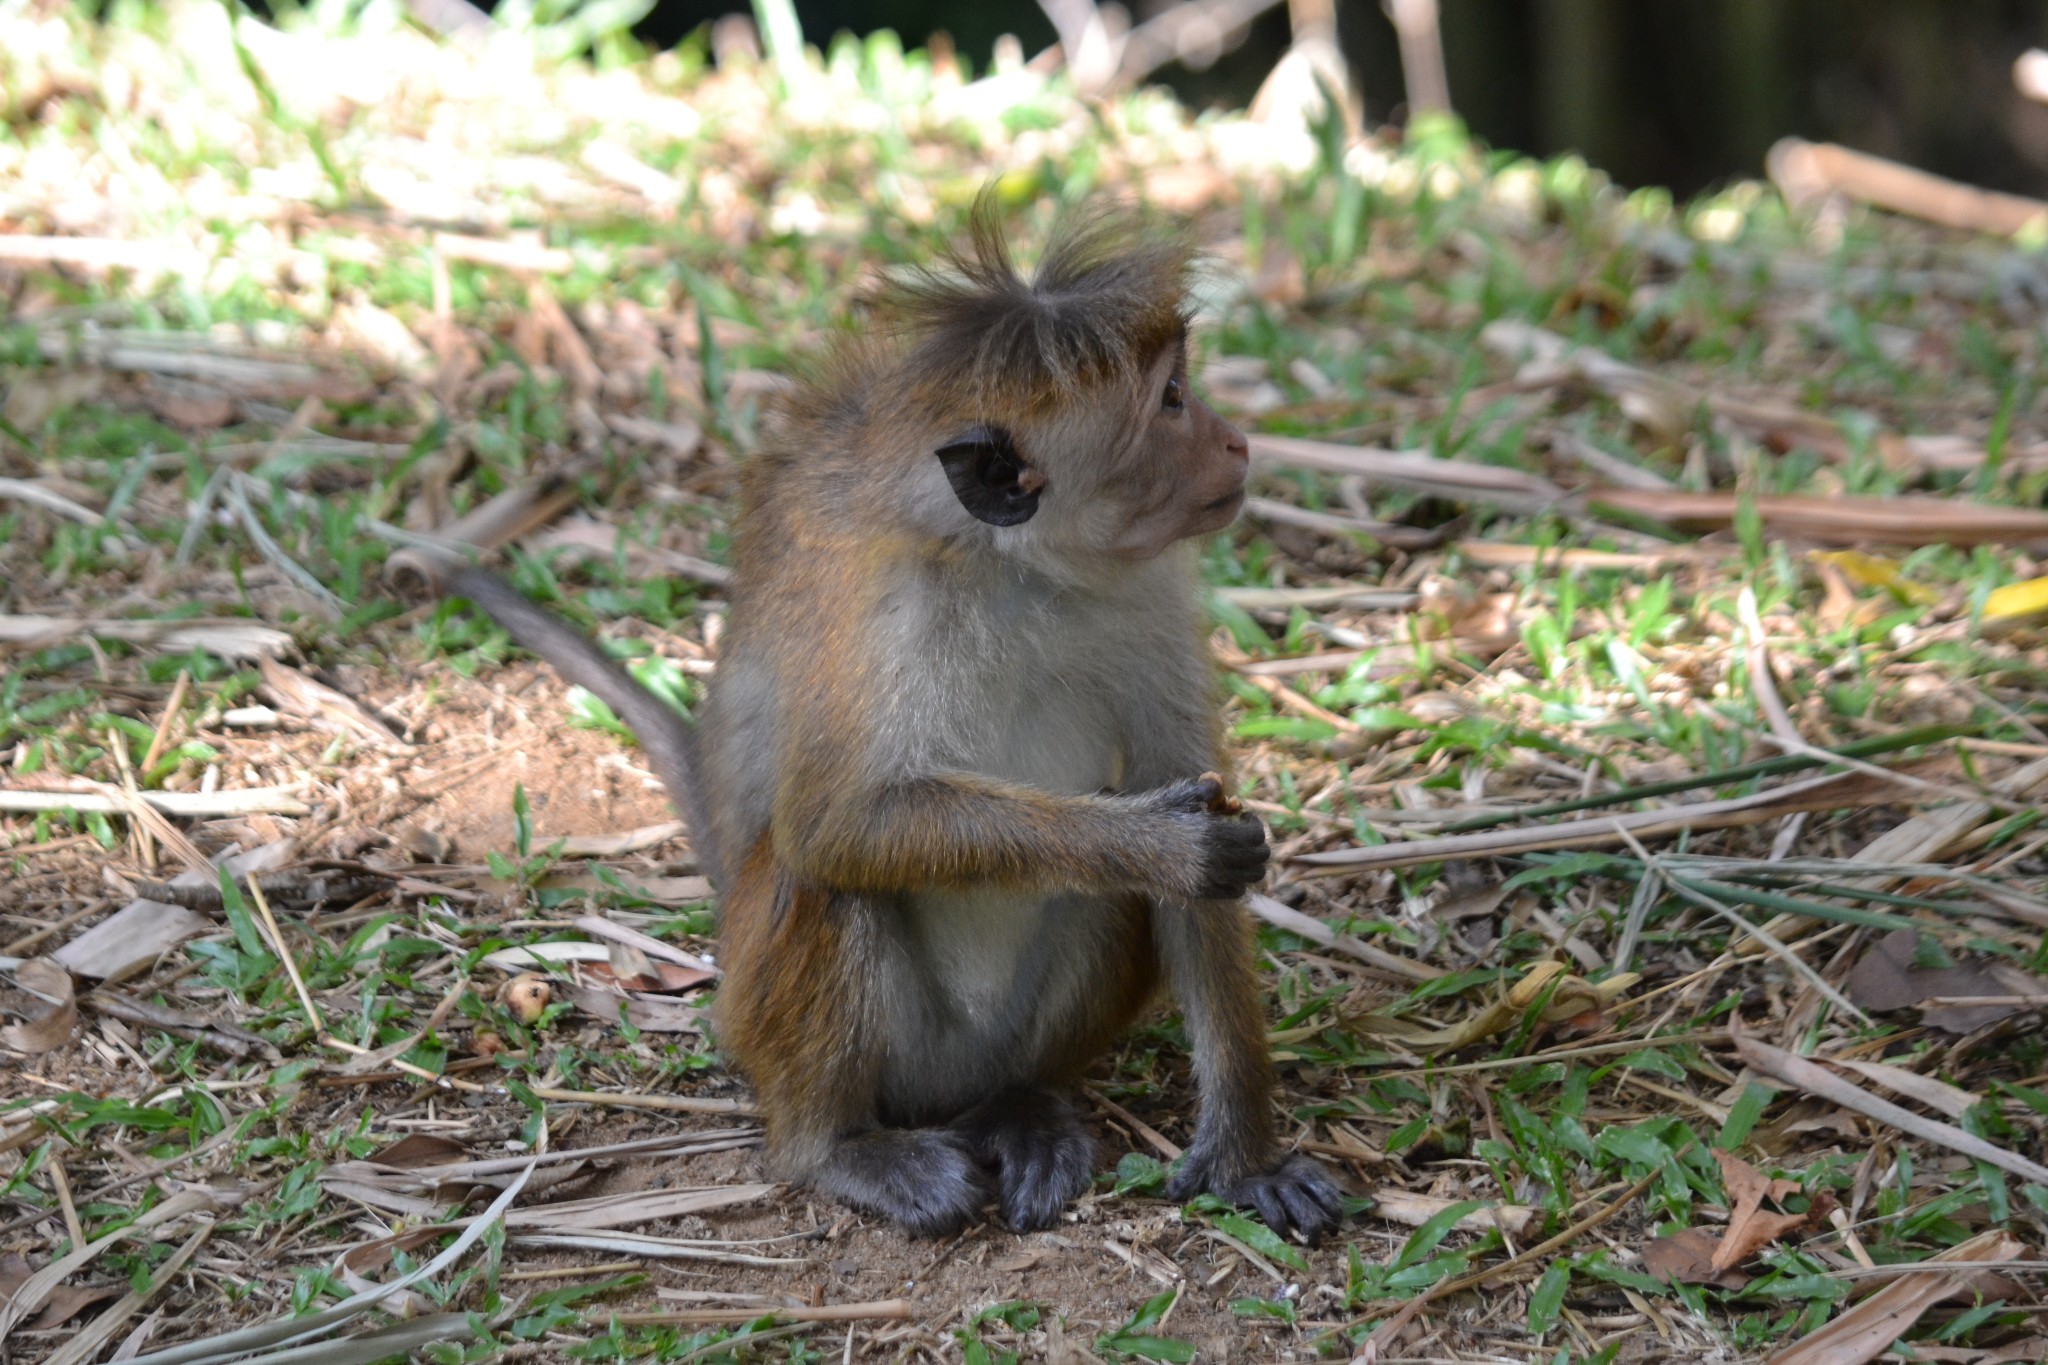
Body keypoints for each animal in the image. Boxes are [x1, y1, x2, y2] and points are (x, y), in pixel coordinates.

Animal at [448, 200, 1343, 1236]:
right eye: (1169, 403)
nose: (1234, 442)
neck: (1020, 573)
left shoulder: (1147, 594)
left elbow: (1189, 823)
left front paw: (1246, 1157)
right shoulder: (889, 614)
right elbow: (837, 824)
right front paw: (1164, 844)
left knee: (1080, 919)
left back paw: (1019, 1106)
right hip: (800, 1026)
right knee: (825, 878)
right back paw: (834, 1146)